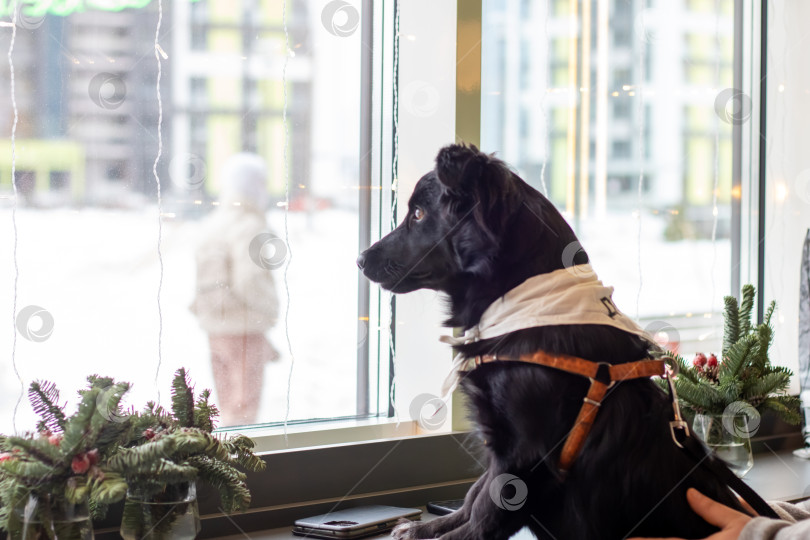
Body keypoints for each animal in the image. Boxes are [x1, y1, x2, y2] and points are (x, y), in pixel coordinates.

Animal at [356, 144, 756, 540]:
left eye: (418, 214)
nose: (360, 259)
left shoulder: (524, 452)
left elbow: (487, 508)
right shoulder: (503, 445)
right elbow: (475, 495)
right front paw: (428, 529)